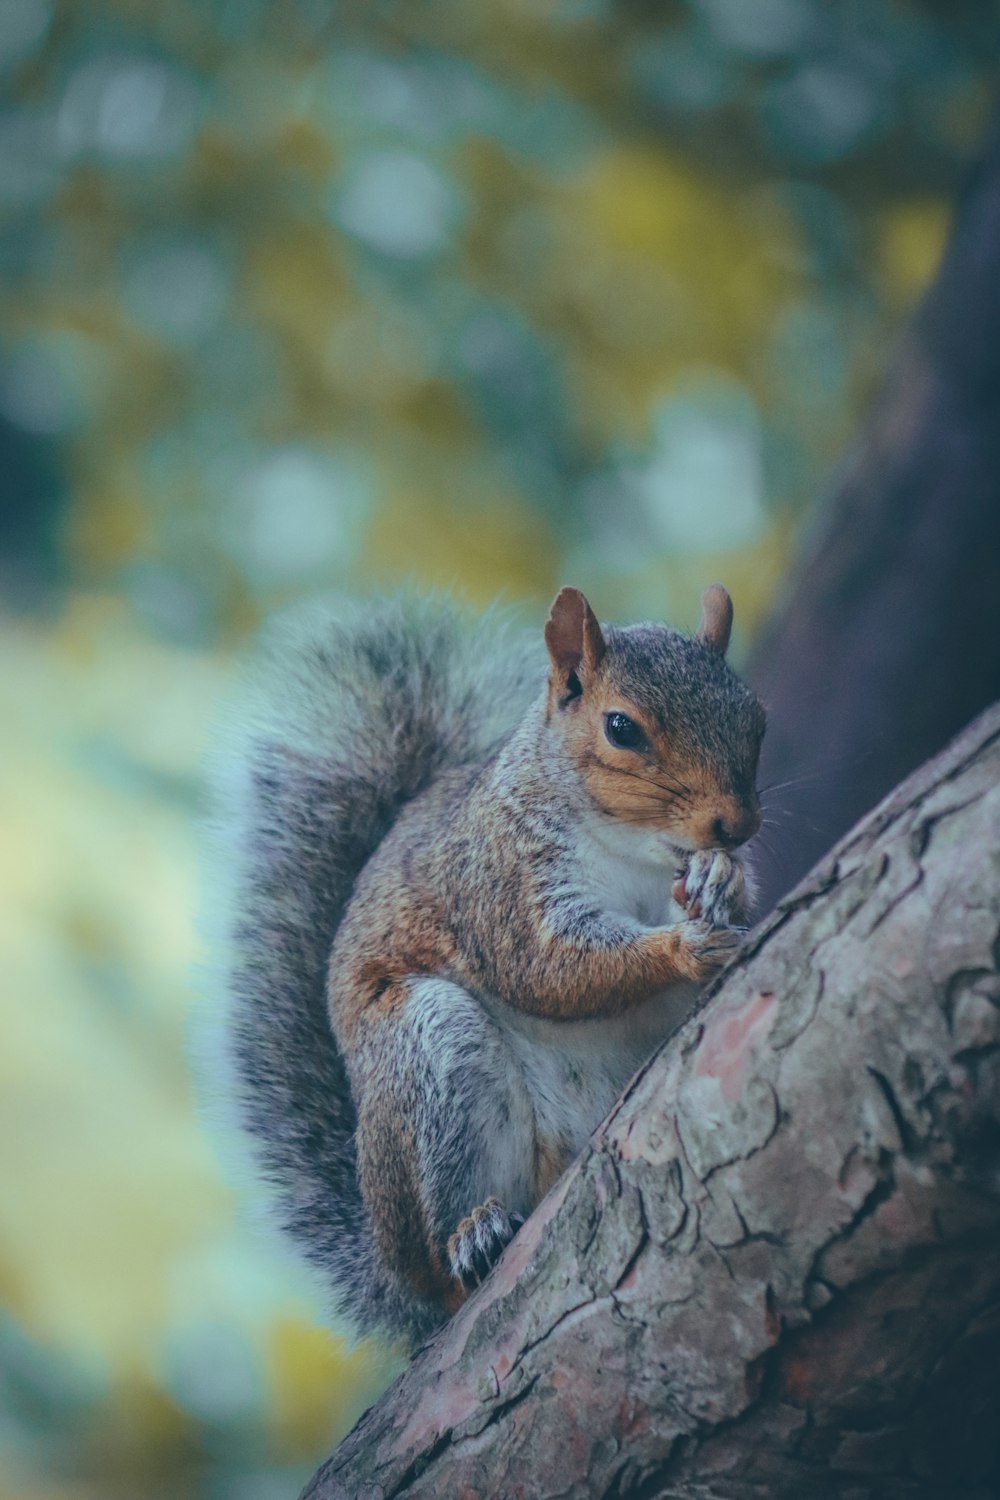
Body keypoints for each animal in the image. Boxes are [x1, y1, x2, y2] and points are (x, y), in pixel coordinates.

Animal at [217, 582, 767, 1350]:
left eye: (757, 719)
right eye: (621, 728)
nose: (735, 826)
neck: (633, 849)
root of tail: (392, 1270)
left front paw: (722, 878)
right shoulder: (497, 879)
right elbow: (544, 964)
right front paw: (679, 948)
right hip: (431, 1046)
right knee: (446, 1262)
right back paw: (472, 1237)